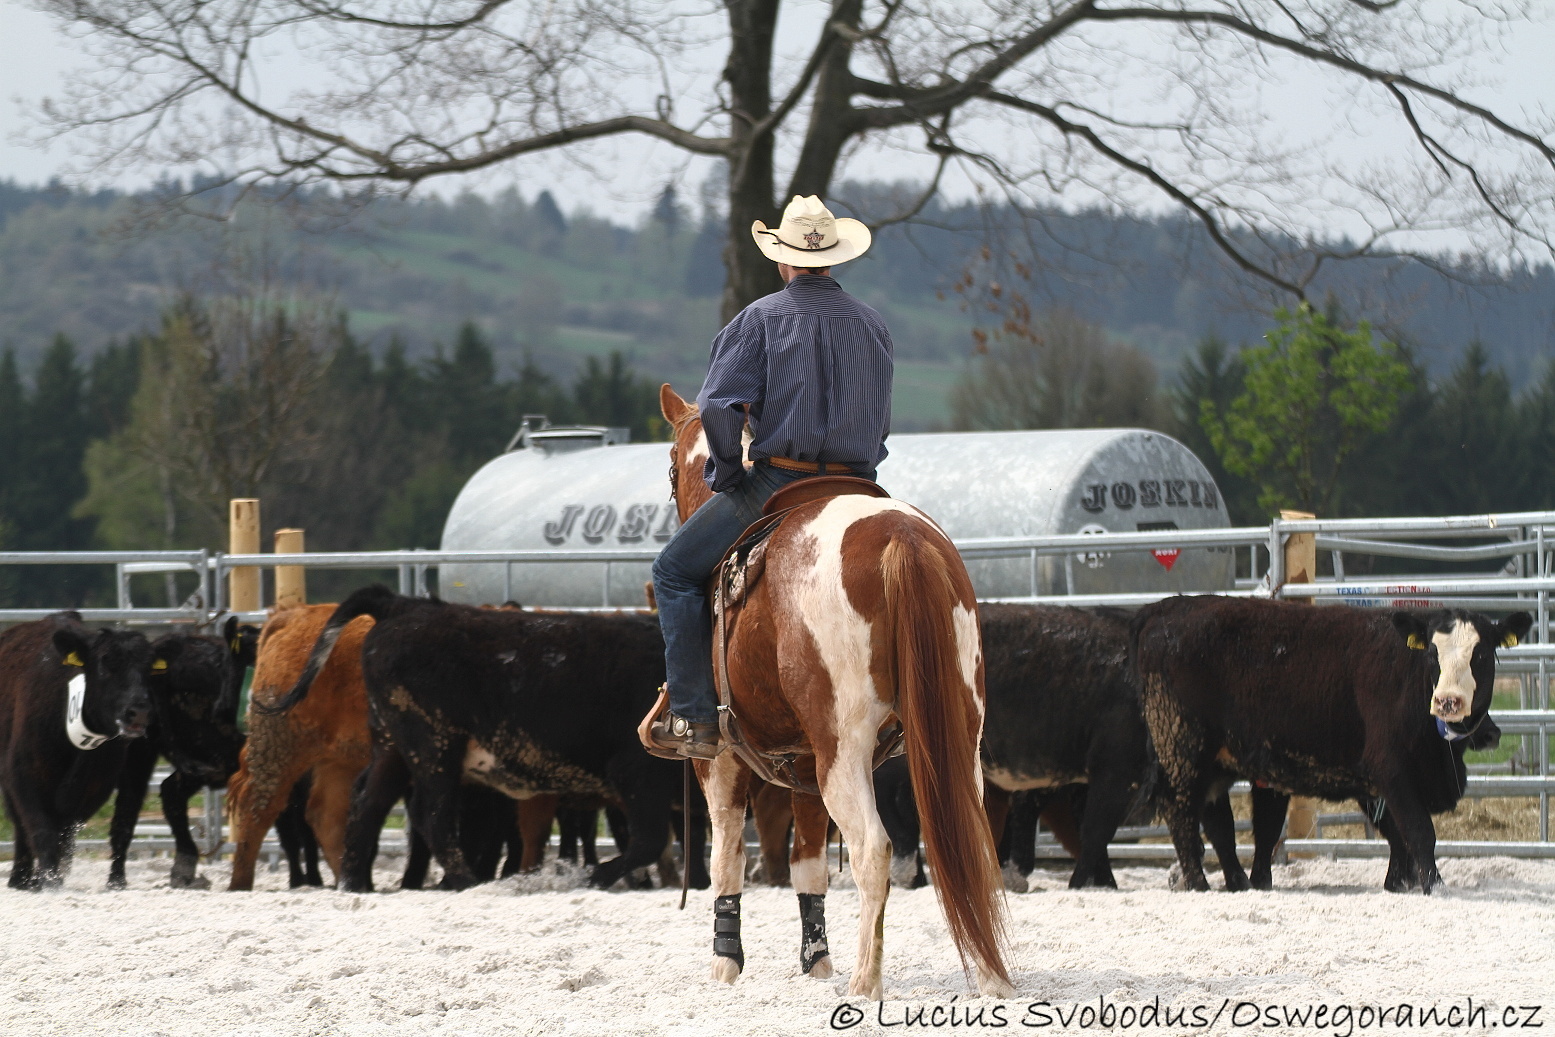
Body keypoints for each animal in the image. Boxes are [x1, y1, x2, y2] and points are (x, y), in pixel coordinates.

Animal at [225, 603, 373, 889]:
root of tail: (293, 617)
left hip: (341, 758)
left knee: (325, 816)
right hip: (284, 748)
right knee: (258, 807)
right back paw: (240, 885)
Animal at [264, 584, 709, 895]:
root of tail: (405, 605)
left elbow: (695, 831)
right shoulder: (637, 772)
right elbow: (649, 840)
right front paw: (594, 875)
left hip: (392, 746)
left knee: (367, 802)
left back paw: (355, 882)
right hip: (434, 746)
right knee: (431, 814)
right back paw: (465, 880)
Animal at [653, 387, 1007, 995]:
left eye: (673, 465)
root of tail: (901, 537)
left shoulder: (719, 758)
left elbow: (726, 853)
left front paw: (725, 963)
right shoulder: (801, 763)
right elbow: (808, 863)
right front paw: (816, 961)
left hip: (843, 750)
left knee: (872, 849)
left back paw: (866, 983)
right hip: (959, 736)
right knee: (971, 841)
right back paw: (991, 980)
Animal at [1132, 597, 1530, 895]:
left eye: (1480, 655)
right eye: (1432, 654)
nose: (1449, 701)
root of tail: (1166, 609)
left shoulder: (1376, 784)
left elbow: (1396, 834)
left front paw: (1399, 883)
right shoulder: (1390, 770)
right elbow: (1418, 832)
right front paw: (1434, 886)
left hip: (1214, 763)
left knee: (1219, 824)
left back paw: (1239, 883)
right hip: (1181, 747)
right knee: (1181, 813)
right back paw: (1199, 883)